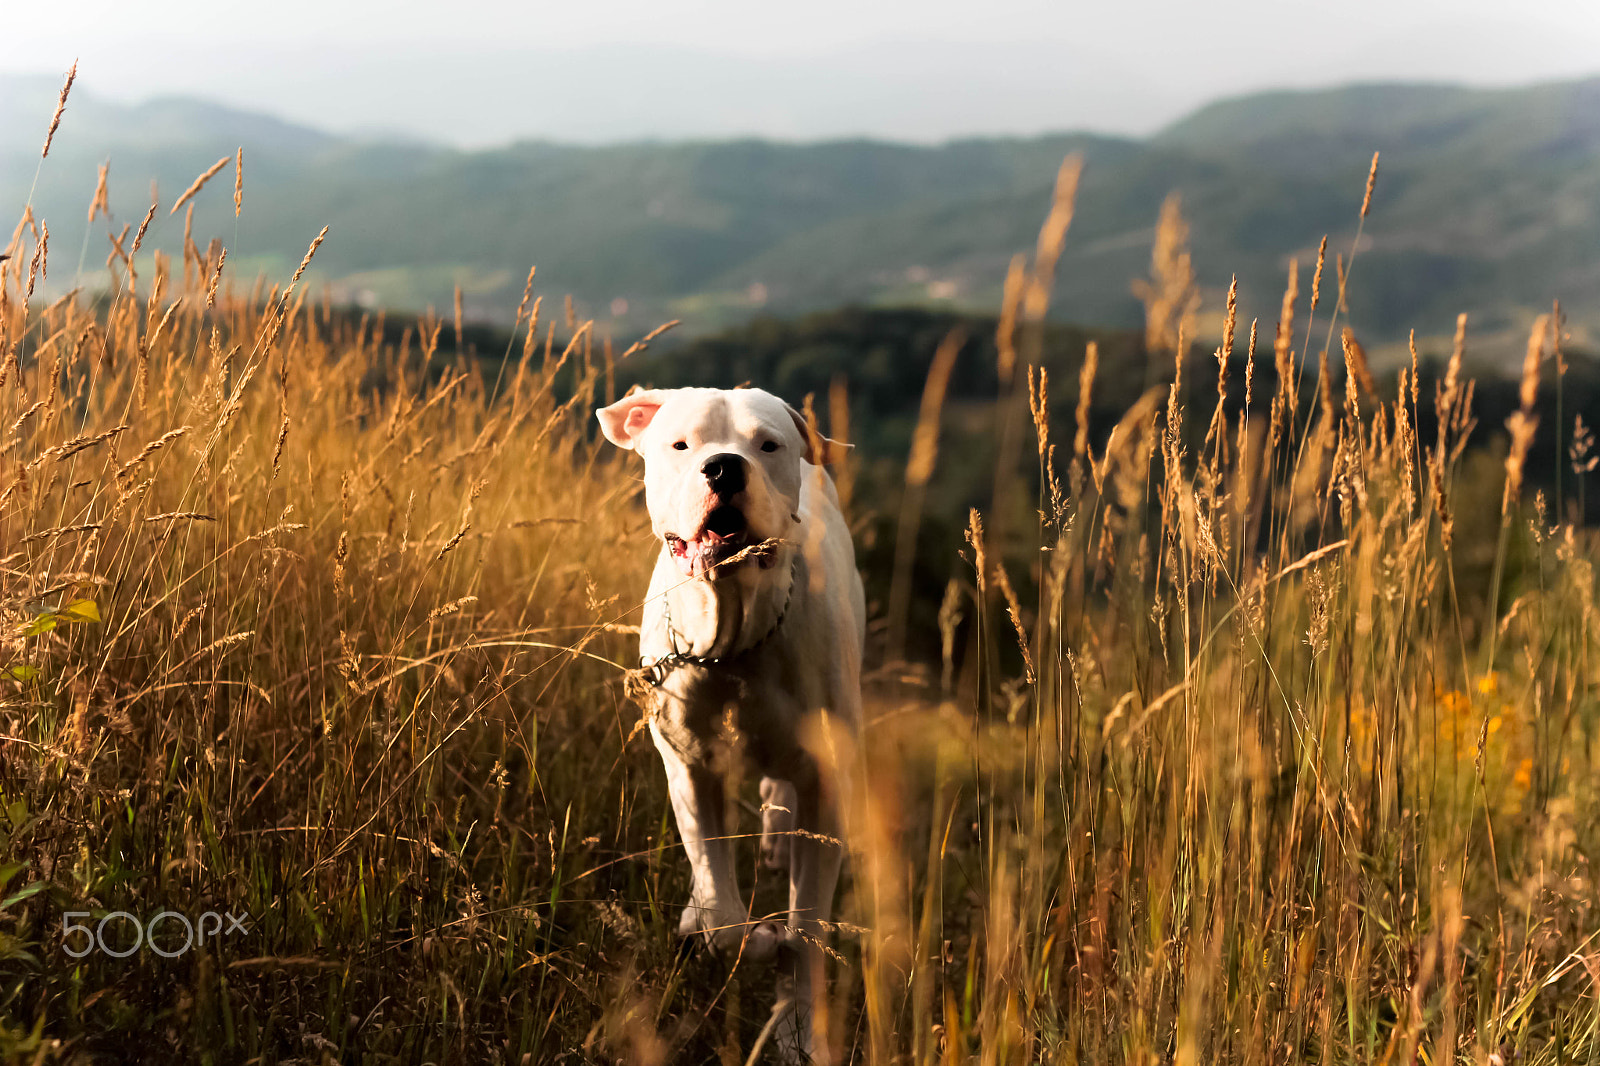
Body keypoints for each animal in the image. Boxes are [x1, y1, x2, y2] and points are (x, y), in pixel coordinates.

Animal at [598, 385, 870, 1056]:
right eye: (680, 444)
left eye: (768, 445)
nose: (723, 467)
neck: (731, 638)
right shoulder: (689, 772)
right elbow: (723, 913)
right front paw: (722, 924)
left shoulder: (828, 784)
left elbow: (806, 932)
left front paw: (799, 1031)